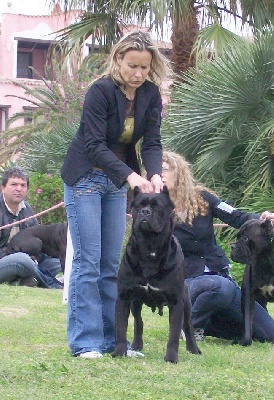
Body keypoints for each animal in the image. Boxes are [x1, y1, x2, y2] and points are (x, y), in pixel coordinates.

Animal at [112, 187, 201, 362]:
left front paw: (171, 358)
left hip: (186, 302)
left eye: (157, 206)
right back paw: (137, 345)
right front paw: (119, 352)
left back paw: (194, 349)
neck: (149, 246)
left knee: (188, 326)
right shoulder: (124, 297)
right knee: (138, 322)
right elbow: (121, 328)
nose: (145, 212)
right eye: (139, 206)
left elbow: (174, 334)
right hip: (135, 302)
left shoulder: (176, 302)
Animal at [231, 217, 274, 346]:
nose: (232, 246)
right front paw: (245, 341)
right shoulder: (248, 296)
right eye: (237, 236)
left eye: (246, 238)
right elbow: (247, 322)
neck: (265, 260)